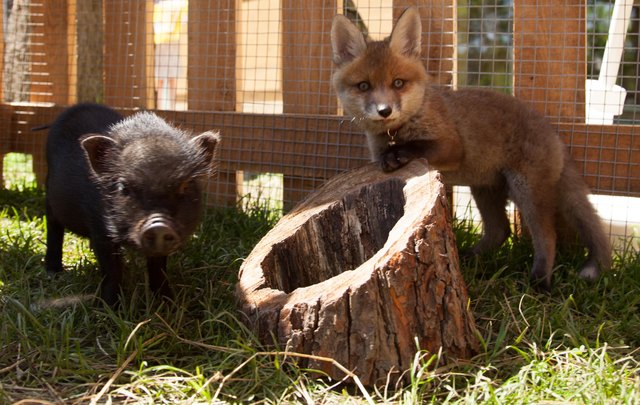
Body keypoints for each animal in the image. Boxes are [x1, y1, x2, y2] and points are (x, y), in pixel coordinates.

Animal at [330, 7, 611, 290]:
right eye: (364, 86)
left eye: (398, 83)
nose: (384, 110)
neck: (398, 131)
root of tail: (554, 133)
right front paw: (390, 156)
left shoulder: (452, 147)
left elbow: (418, 146)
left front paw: (399, 154)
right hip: (485, 189)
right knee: (501, 230)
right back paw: (471, 258)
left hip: (525, 190)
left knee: (547, 235)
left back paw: (540, 281)